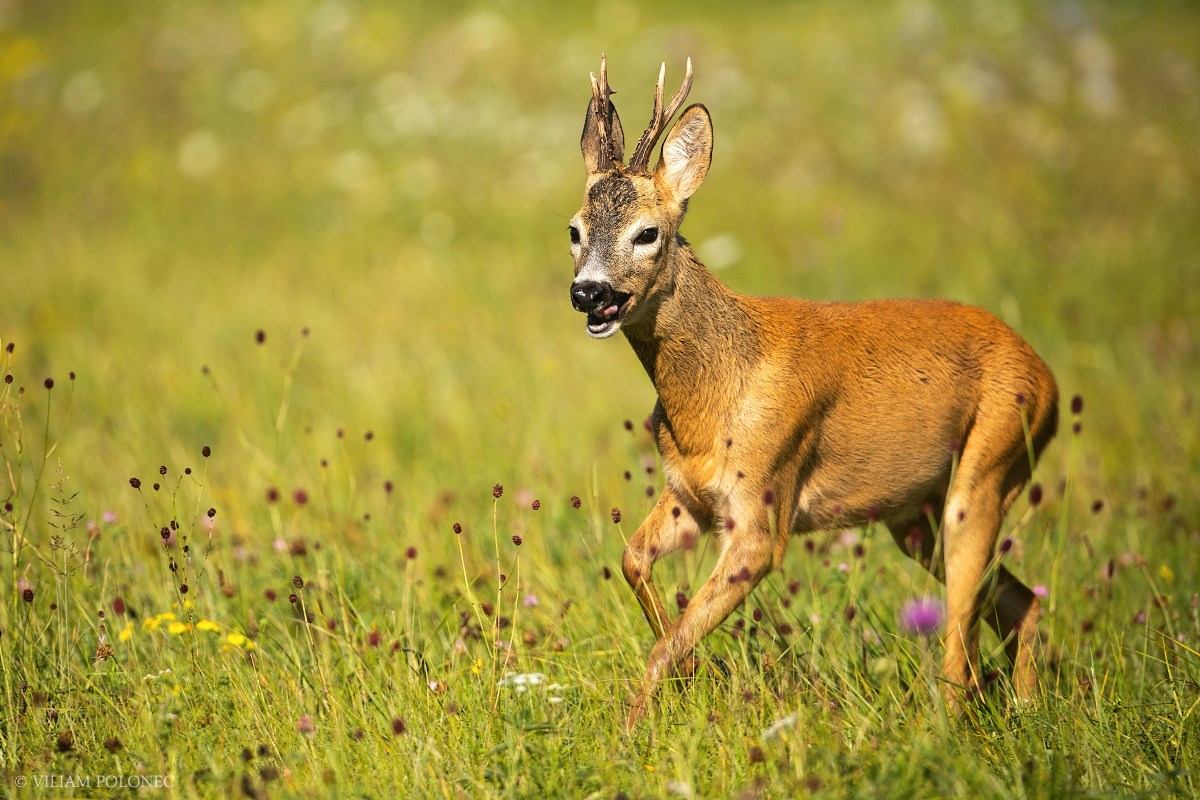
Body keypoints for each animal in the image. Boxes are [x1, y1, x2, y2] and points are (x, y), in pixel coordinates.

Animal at [564, 57, 1060, 734]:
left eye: (648, 233)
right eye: (573, 230)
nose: (588, 292)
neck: (716, 394)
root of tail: (1049, 379)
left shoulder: (762, 504)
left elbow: (668, 639)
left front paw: (631, 730)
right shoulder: (689, 493)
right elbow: (633, 562)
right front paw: (691, 680)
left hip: (989, 466)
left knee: (960, 645)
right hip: (916, 516)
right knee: (1021, 598)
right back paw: (1028, 708)